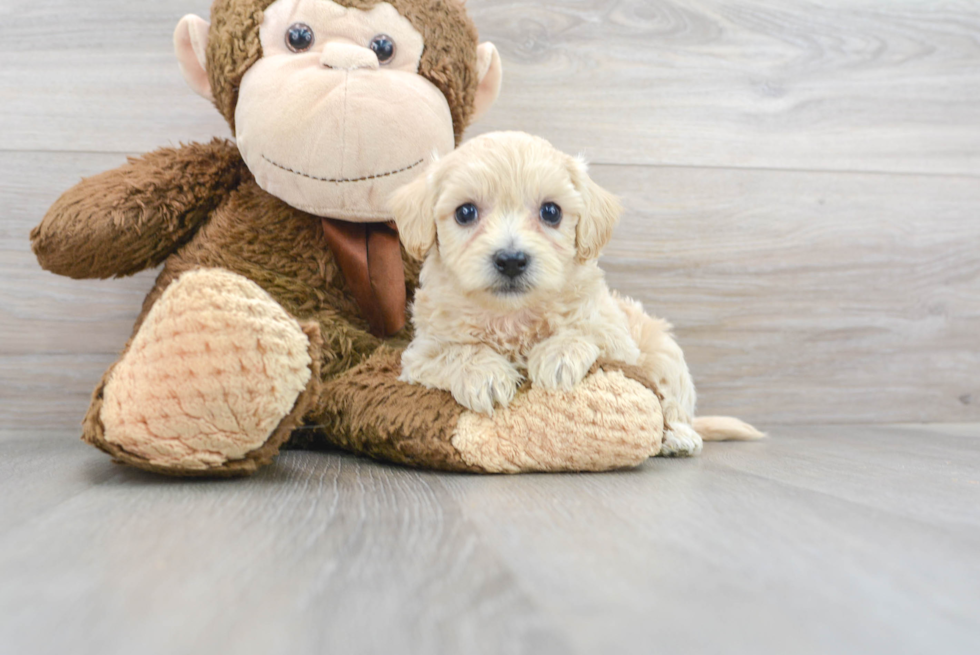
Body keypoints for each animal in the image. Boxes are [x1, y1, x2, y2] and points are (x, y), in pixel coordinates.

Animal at [386, 129, 760, 456]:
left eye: (551, 211)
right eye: (465, 212)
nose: (511, 260)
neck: (513, 316)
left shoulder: (615, 336)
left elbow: (586, 331)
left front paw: (558, 355)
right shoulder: (420, 354)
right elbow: (455, 352)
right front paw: (485, 375)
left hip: (664, 353)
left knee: (674, 407)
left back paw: (679, 437)